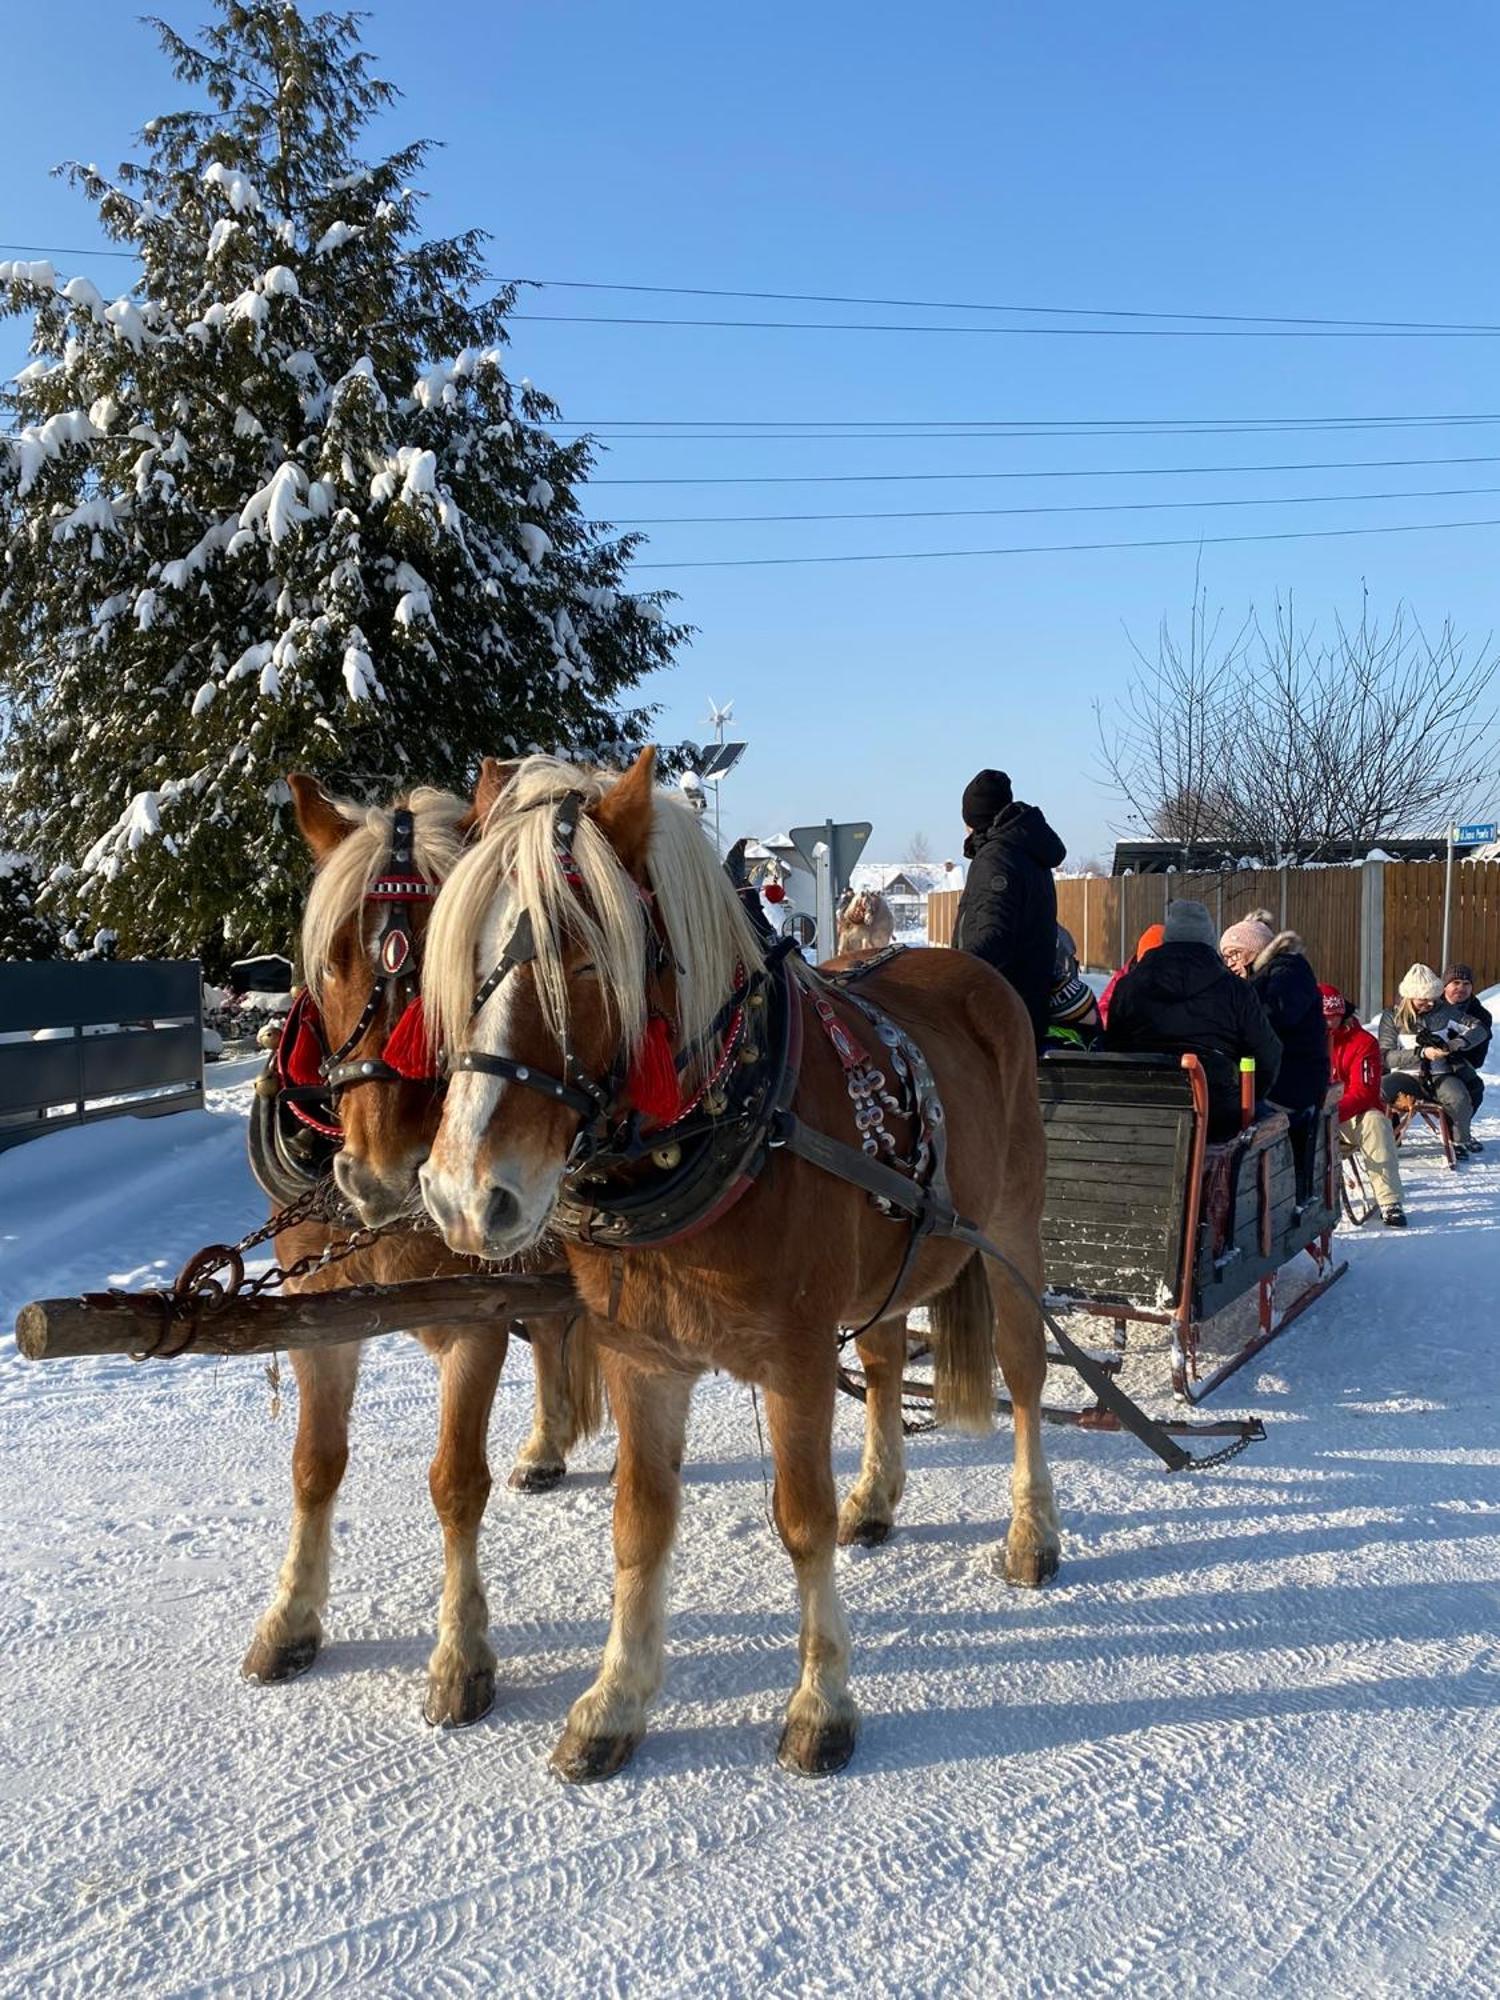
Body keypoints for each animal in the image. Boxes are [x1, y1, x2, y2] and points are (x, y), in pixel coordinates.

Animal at [241, 772, 604, 1728]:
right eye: (331, 959)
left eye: (452, 954)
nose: (381, 1173)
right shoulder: (319, 1318)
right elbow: (314, 1465)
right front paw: (290, 1619)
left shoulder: (472, 1322)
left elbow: (454, 1484)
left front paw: (460, 1657)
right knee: (551, 1337)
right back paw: (546, 1446)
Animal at [418, 752, 1064, 1784]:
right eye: (454, 956)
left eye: (586, 959)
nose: (463, 1196)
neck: (726, 1125)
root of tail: (968, 969)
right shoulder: (640, 1358)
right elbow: (639, 1522)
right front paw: (615, 1700)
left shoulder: (796, 1361)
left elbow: (799, 1521)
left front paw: (821, 1704)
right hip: (890, 1260)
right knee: (885, 1361)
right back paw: (877, 1496)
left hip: (1012, 1233)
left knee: (1026, 1375)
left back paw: (1032, 1532)